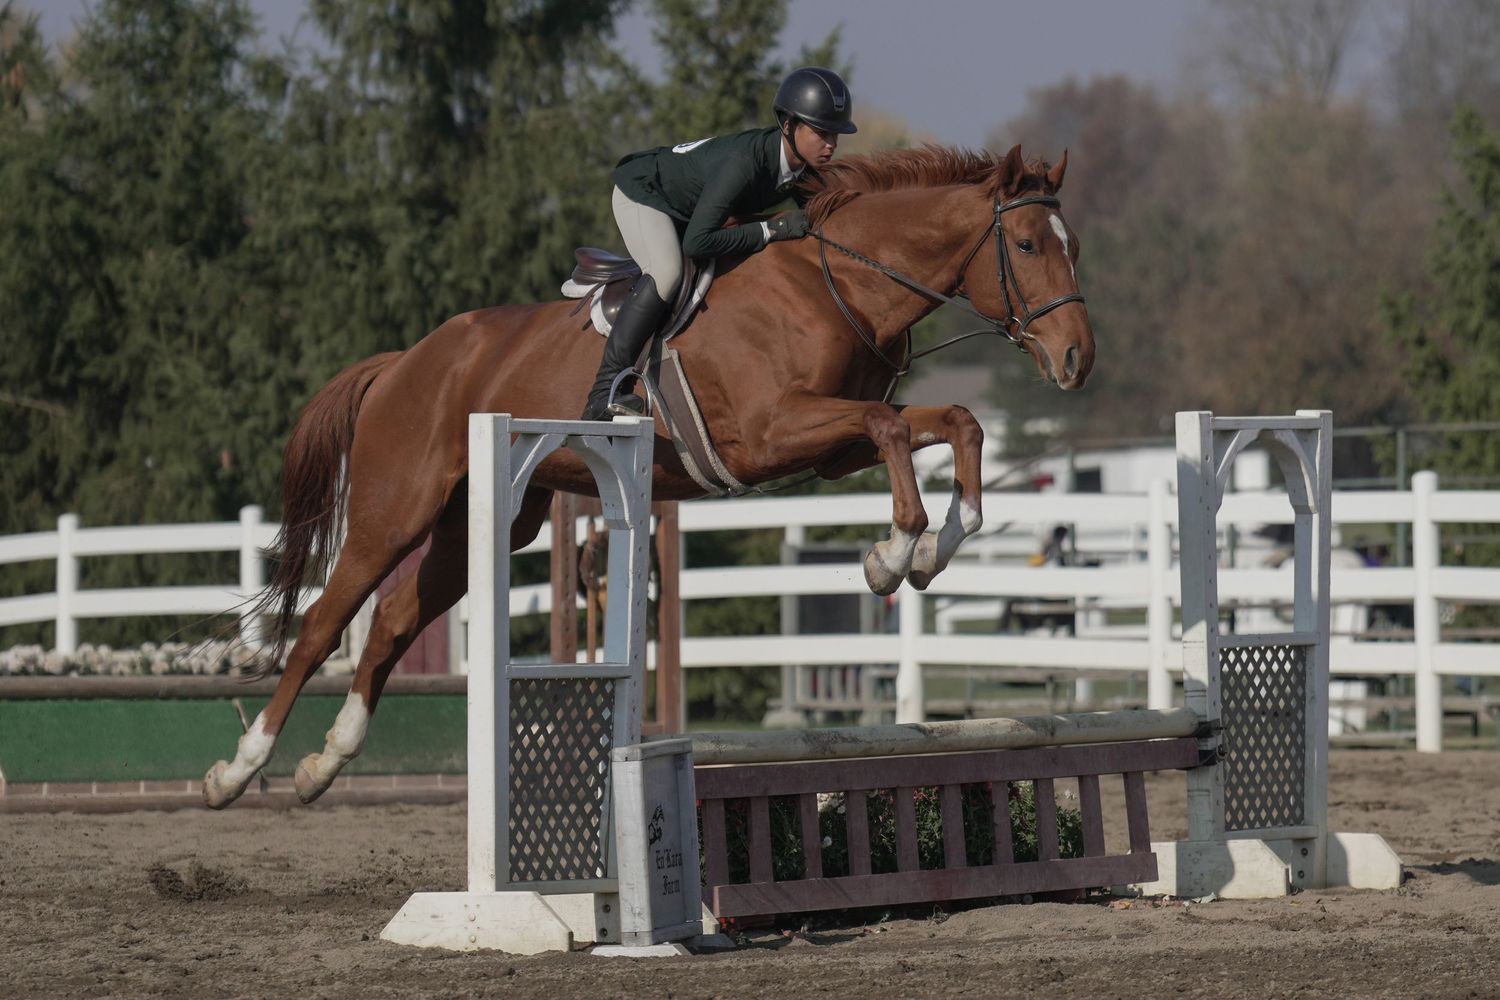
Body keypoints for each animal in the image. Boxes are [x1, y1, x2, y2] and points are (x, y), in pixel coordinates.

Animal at [203, 143, 1094, 809]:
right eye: (1025, 246)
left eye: (1072, 245)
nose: (1077, 360)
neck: (838, 281)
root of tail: (405, 361)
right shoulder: (772, 433)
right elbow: (893, 429)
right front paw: (894, 555)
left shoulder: (826, 440)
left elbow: (952, 423)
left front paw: (930, 549)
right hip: (396, 509)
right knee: (324, 624)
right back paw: (238, 771)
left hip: (490, 520)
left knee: (388, 621)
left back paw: (325, 764)